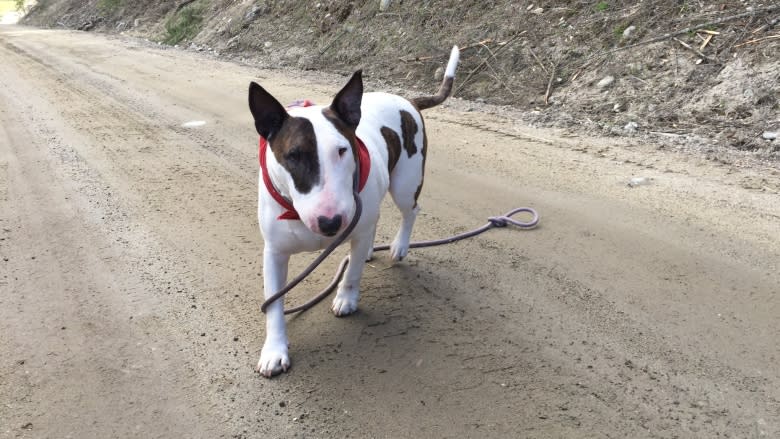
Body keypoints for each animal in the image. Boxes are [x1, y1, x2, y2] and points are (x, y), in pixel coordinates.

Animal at [248, 45, 458, 378]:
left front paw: (346, 299)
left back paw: (398, 246)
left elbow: (353, 273)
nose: (331, 223)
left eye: (342, 150)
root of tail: (407, 101)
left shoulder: (356, 228)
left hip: (405, 183)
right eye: (293, 155)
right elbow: (274, 305)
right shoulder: (275, 253)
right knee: (376, 220)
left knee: (410, 210)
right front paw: (274, 351)